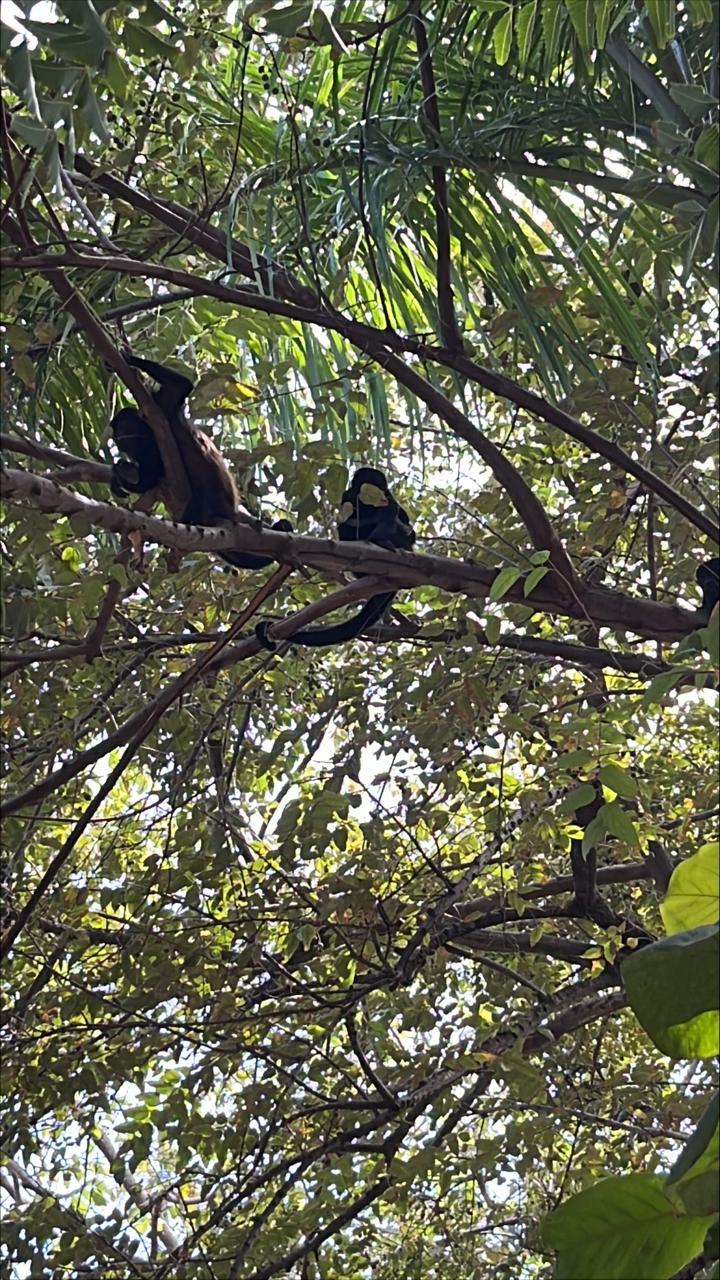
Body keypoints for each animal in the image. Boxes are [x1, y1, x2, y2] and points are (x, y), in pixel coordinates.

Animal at [109, 355, 292, 570]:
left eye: (125, 427)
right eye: (119, 434)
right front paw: (119, 474)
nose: (122, 438)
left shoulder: (161, 409)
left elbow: (182, 385)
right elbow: (149, 478)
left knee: (200, 493)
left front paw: (128, 359)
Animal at [255, 466, 415, 650]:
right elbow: (347, 524)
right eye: (371, 483)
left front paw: (385, 534)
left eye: (381, 486)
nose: (379, 493)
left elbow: (395, 516)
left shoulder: (388, 498)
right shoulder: (349, 497)